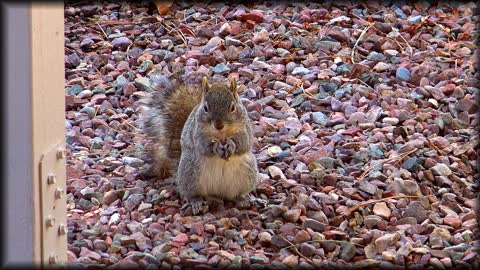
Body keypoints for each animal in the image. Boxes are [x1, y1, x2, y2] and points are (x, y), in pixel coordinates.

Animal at [137, 73, 260, 214]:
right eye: (206, 108)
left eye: (233, 107)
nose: (219, 125)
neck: (221, 134)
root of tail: (218, 193)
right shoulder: (197, 132)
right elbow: (203, 145)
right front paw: (216, 147)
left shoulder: (246, 129)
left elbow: (244, 142)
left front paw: (231, 145)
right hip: (190, 174)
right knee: (193, 194)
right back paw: (196, 202)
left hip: (247, 174)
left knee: (234, 195)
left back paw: (244, 199)